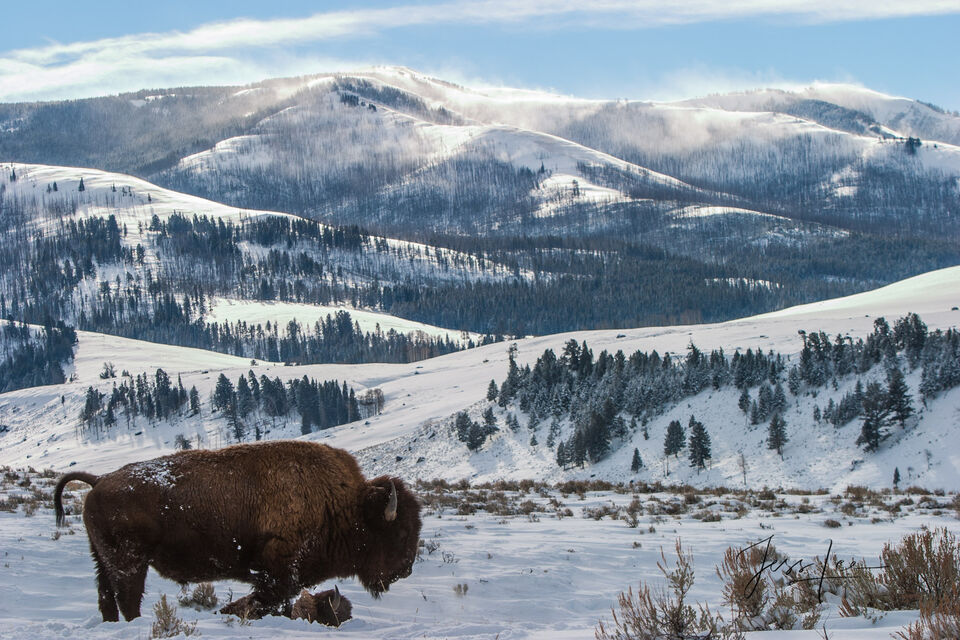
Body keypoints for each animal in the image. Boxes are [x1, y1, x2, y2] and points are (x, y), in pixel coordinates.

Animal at [54, 440, 421, 622]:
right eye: (401, 533)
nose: (406, 570)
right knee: (127, 597)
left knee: (106, 597)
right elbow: (265, 602)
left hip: (103, 558)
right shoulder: (277, 574)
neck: (344, 504)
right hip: (129, 562)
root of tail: (100, 480)